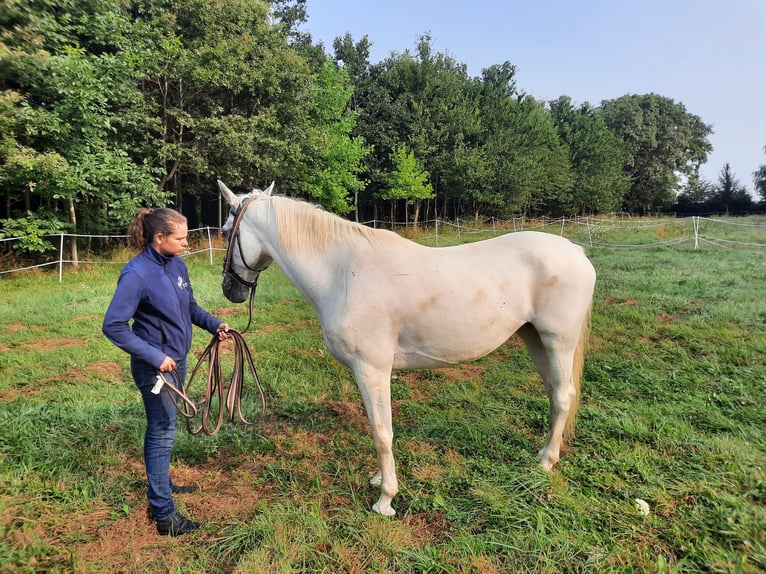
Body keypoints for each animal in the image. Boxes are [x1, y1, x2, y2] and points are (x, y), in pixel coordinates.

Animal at [219, 182, 596, 520]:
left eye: (224, 232)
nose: (229, 290)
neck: (343, 272)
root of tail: (576, 252)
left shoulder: (371, 369)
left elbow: (381, 432)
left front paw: (385, 500)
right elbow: (379, 428)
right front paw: (377, 480)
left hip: (557, 342)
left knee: (563, 395)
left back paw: (546, 463)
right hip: (535, 340)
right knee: (554, 395)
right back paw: (544, 453)